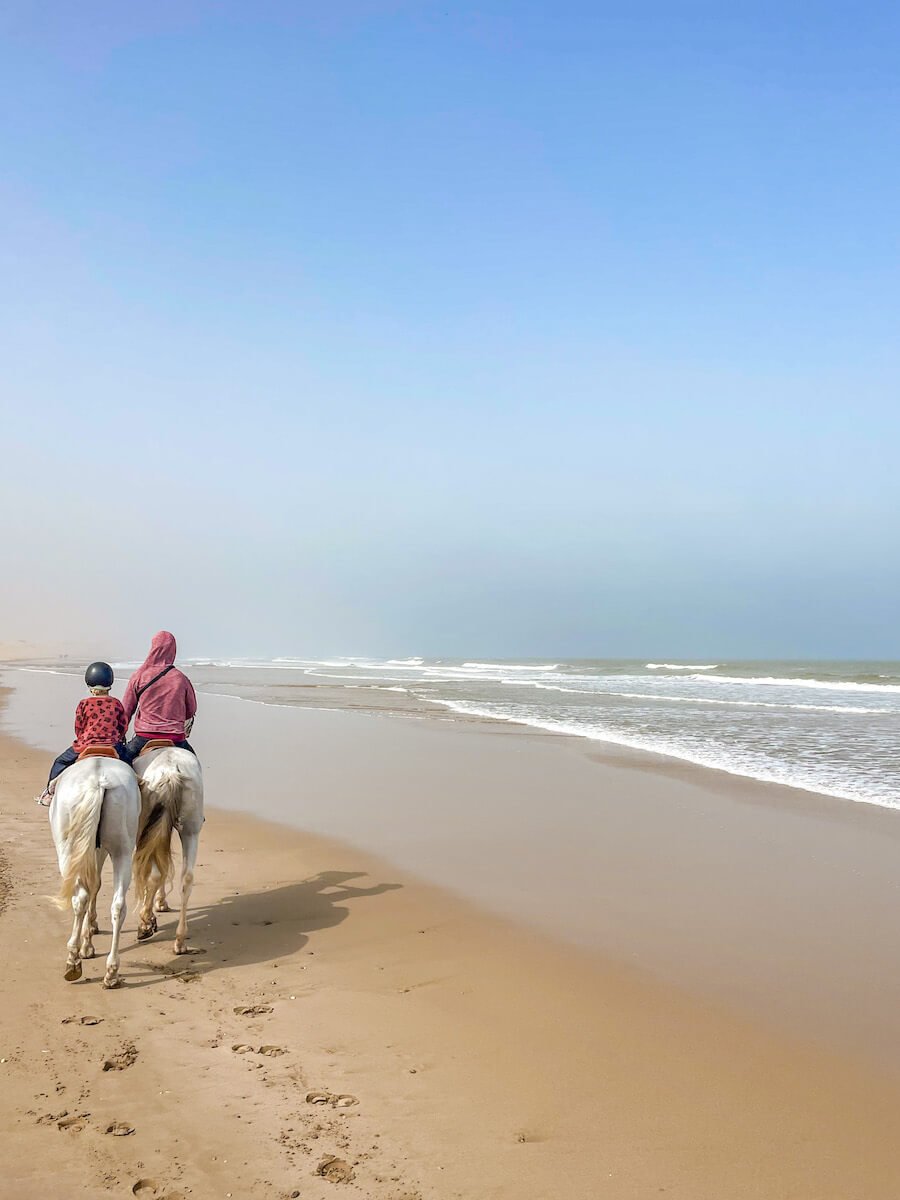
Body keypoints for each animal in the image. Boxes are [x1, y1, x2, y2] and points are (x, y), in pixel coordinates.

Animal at [49, 754, 140, 988]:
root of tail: (97, 782)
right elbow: (96, 885)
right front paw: (89, 937)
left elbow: (91, 887)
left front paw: (86, 944)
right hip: (122, 849)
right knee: (118, 905)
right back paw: (111, 971)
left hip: (68, 850)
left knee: (79, 898)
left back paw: (73, 961)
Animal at [132, 745, 204, 954]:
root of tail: (172, 771)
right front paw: (161, 902)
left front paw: (156, 908)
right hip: (191, 829)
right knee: (186, 879)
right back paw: (180, 941)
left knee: (155, 874)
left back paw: (144, 924)